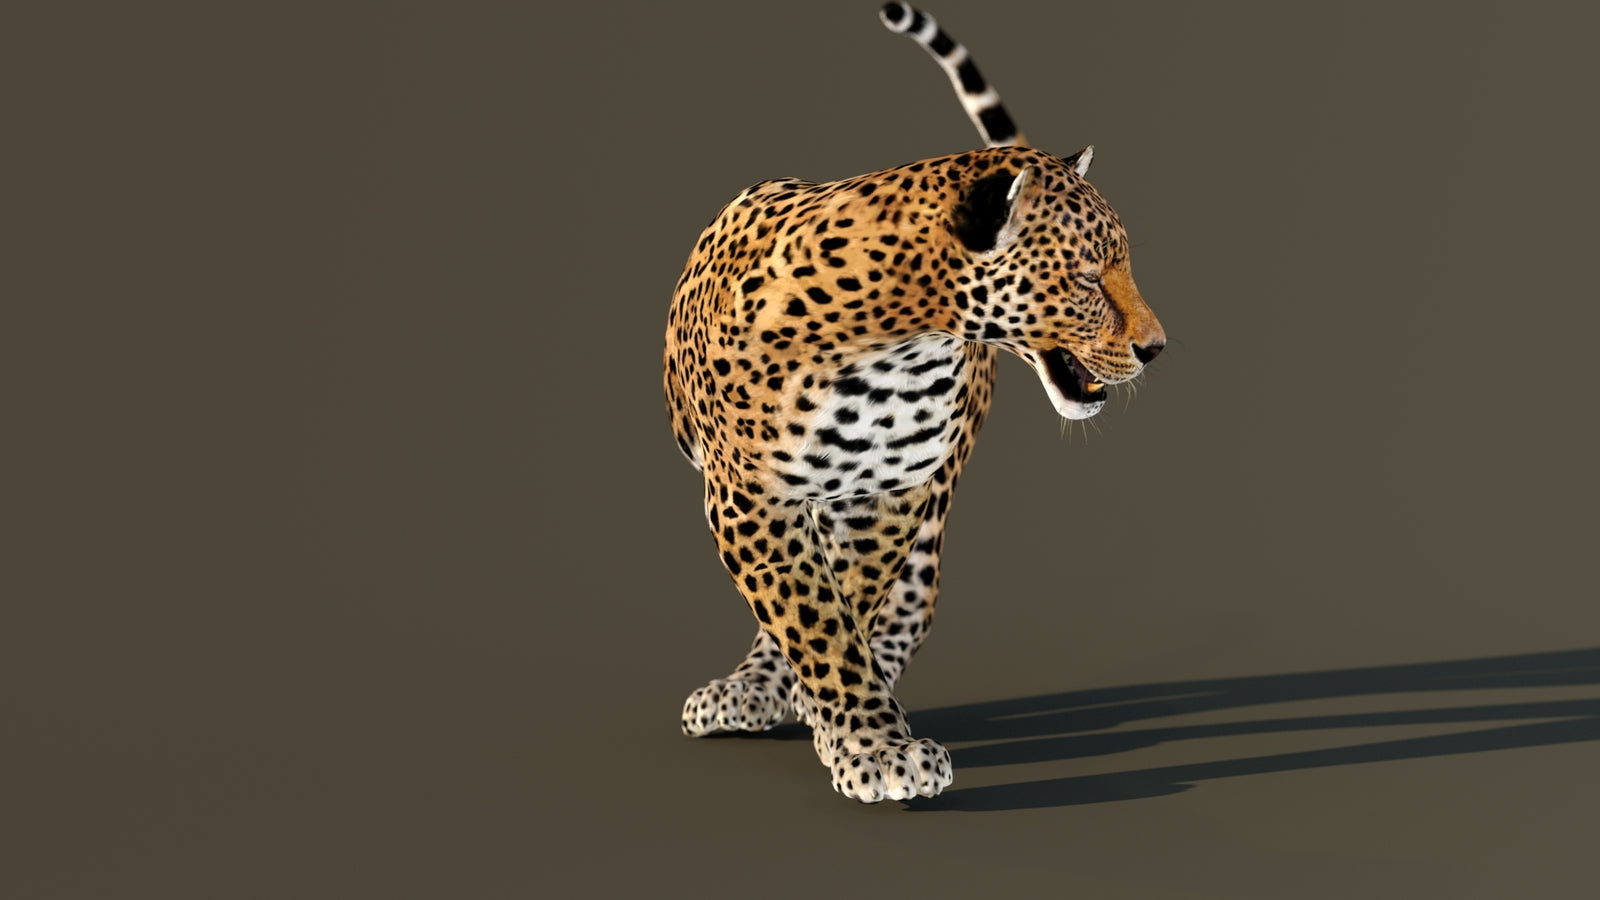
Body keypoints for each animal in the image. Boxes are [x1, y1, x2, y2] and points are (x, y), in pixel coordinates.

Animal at [663, 3, 1167, 803]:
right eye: (1089, 276)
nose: (1159, 347)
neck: (901, 341)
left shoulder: (890, 493)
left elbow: (844, 602)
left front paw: (848, 727)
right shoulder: (749, 496)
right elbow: (815, 619)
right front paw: (873, 748)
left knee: (910, 602)